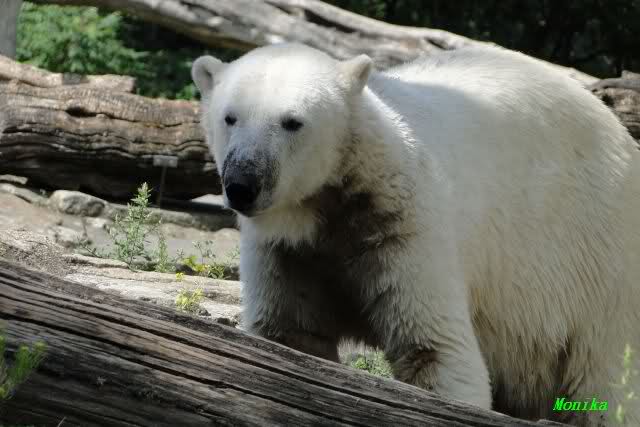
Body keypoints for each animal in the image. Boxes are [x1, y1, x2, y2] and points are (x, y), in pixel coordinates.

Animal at [192, 43, 640, 425]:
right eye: (230, 117)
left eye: (292, 122)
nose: (242, 184)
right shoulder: (286, 251)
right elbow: (289, 334)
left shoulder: (404, 226)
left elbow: (435, 351)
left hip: (598, 251)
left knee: (609, 375)